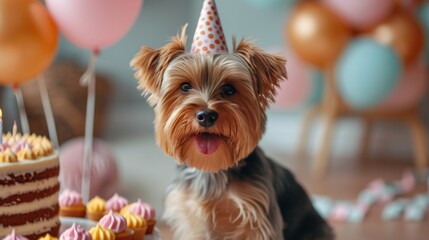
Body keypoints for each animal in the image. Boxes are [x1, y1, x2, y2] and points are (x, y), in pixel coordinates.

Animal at [132, 22, 332, 240]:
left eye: (229, 89)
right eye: (185, 86)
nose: (206, 115)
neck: (211, 169)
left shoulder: (257, 217)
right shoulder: (191, 218)